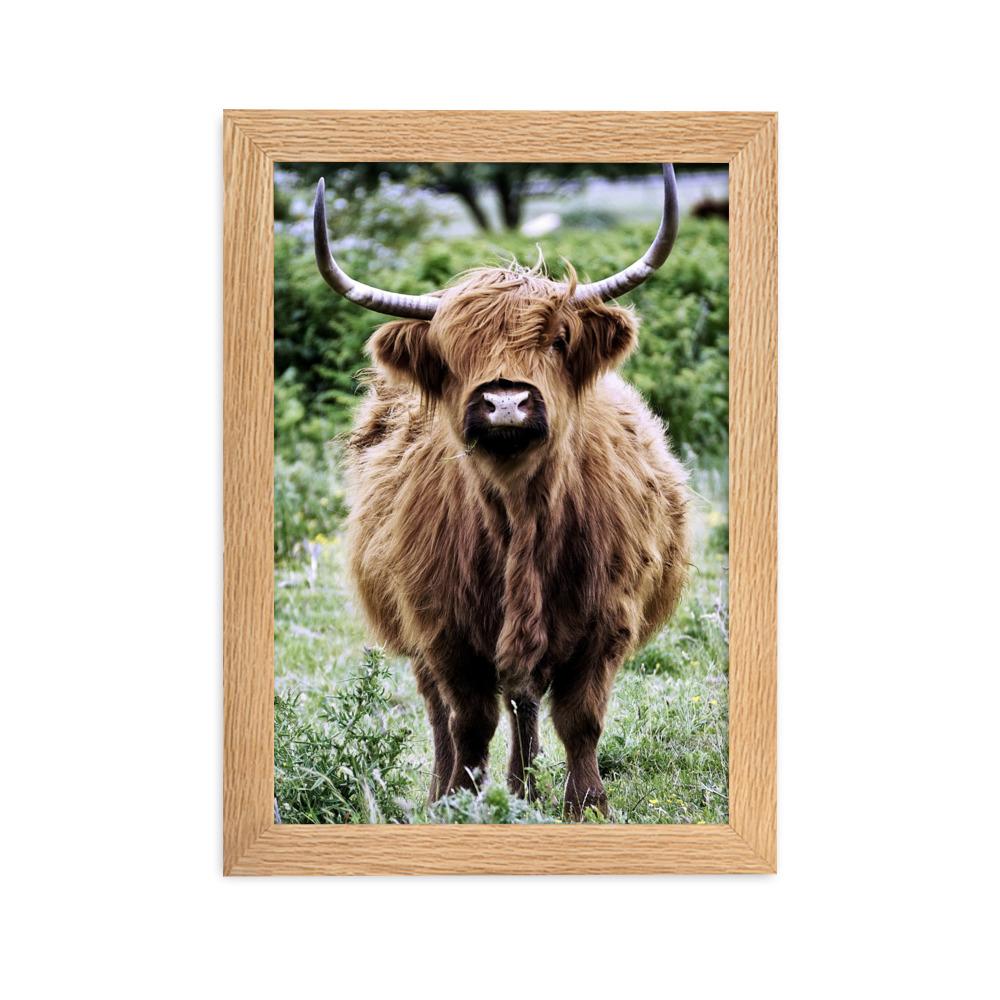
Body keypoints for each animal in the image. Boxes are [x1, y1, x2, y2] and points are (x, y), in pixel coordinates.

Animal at [313, 166, 690, 817]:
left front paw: (586, 805)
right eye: (451, 351)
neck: (520, 514)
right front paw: (462, 800)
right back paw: (453, 791)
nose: (506, 401)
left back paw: (524, 787)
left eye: (558, 339)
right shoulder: (443, 630)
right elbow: (468, 721)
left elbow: (580, 719)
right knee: (446, 711)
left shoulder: (607, 622)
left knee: (525, 700)